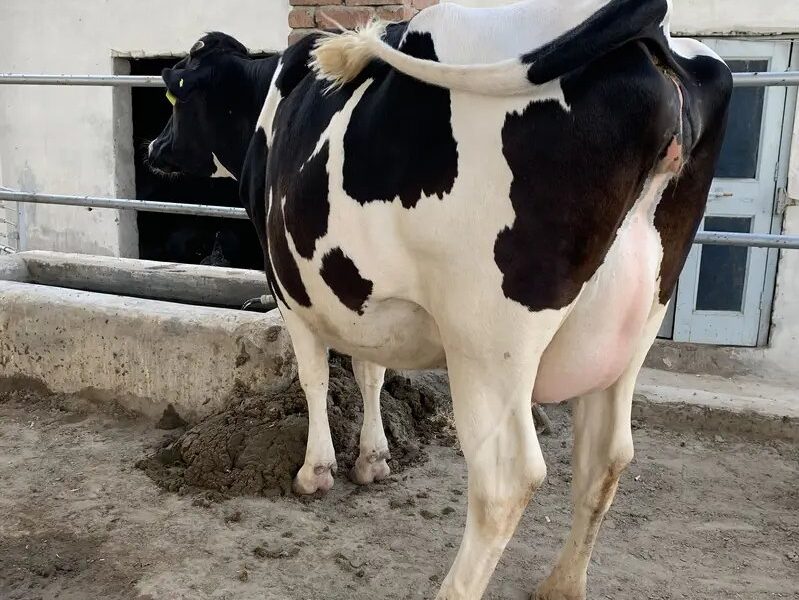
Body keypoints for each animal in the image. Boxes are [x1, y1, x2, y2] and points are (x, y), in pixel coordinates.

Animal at [238, 0, 733, 597]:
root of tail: (655, 30)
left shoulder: (288, 287)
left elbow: (314, 376)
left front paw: (316, 471)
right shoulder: (359, 297)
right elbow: (370, 369)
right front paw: (372, 460)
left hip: (487, 336)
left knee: (506, 476)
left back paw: (456, 588)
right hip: (635, 326)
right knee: (606, 456)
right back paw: (562, 583)